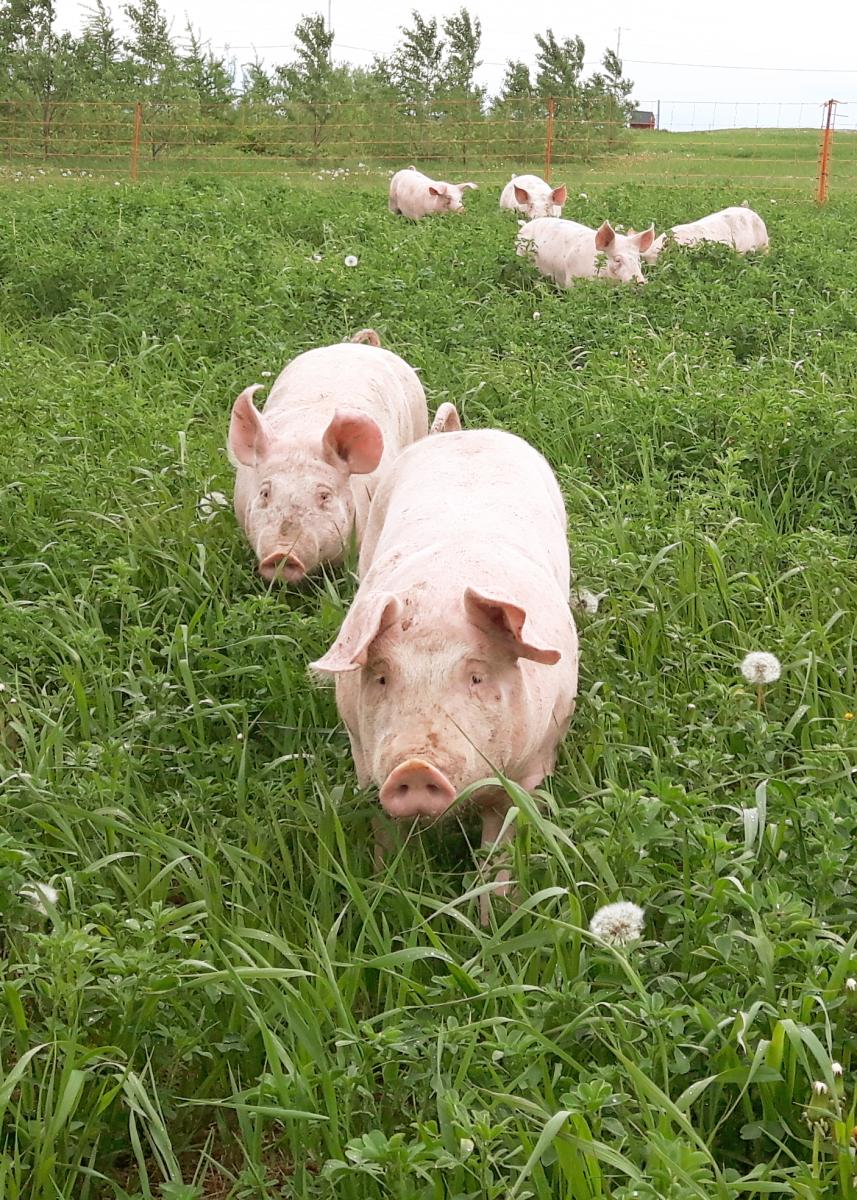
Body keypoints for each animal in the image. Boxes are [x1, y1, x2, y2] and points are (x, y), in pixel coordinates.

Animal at [309, 427, 578, 921]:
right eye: (381, 677)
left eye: (476, 678)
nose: (416, 766)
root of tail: (465, 434)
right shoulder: (365, 758)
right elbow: (386, 832)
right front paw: (388, 897)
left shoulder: (532, 768)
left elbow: (503, 846)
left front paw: (495, 921)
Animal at [513, 216, 652, 285]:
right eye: (617, 260)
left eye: (638, 259)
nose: (640, 282)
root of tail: (525, 226)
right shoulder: (571, 280)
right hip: (520, 255)